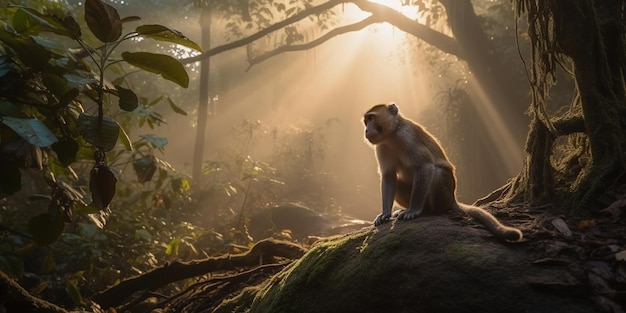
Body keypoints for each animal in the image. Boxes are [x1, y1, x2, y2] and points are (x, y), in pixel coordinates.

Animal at [364, 102, 520, 241]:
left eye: (371, 118)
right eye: (366, 121)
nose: (366, 130)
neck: (392, 134)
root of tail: (452, 198)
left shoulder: (406, 137)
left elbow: (425, 167)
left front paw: (414, 210)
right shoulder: (381, 146)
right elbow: (389, 175)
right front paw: (385, 214)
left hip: (445, 194)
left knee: (437, 174)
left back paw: (428, 210)